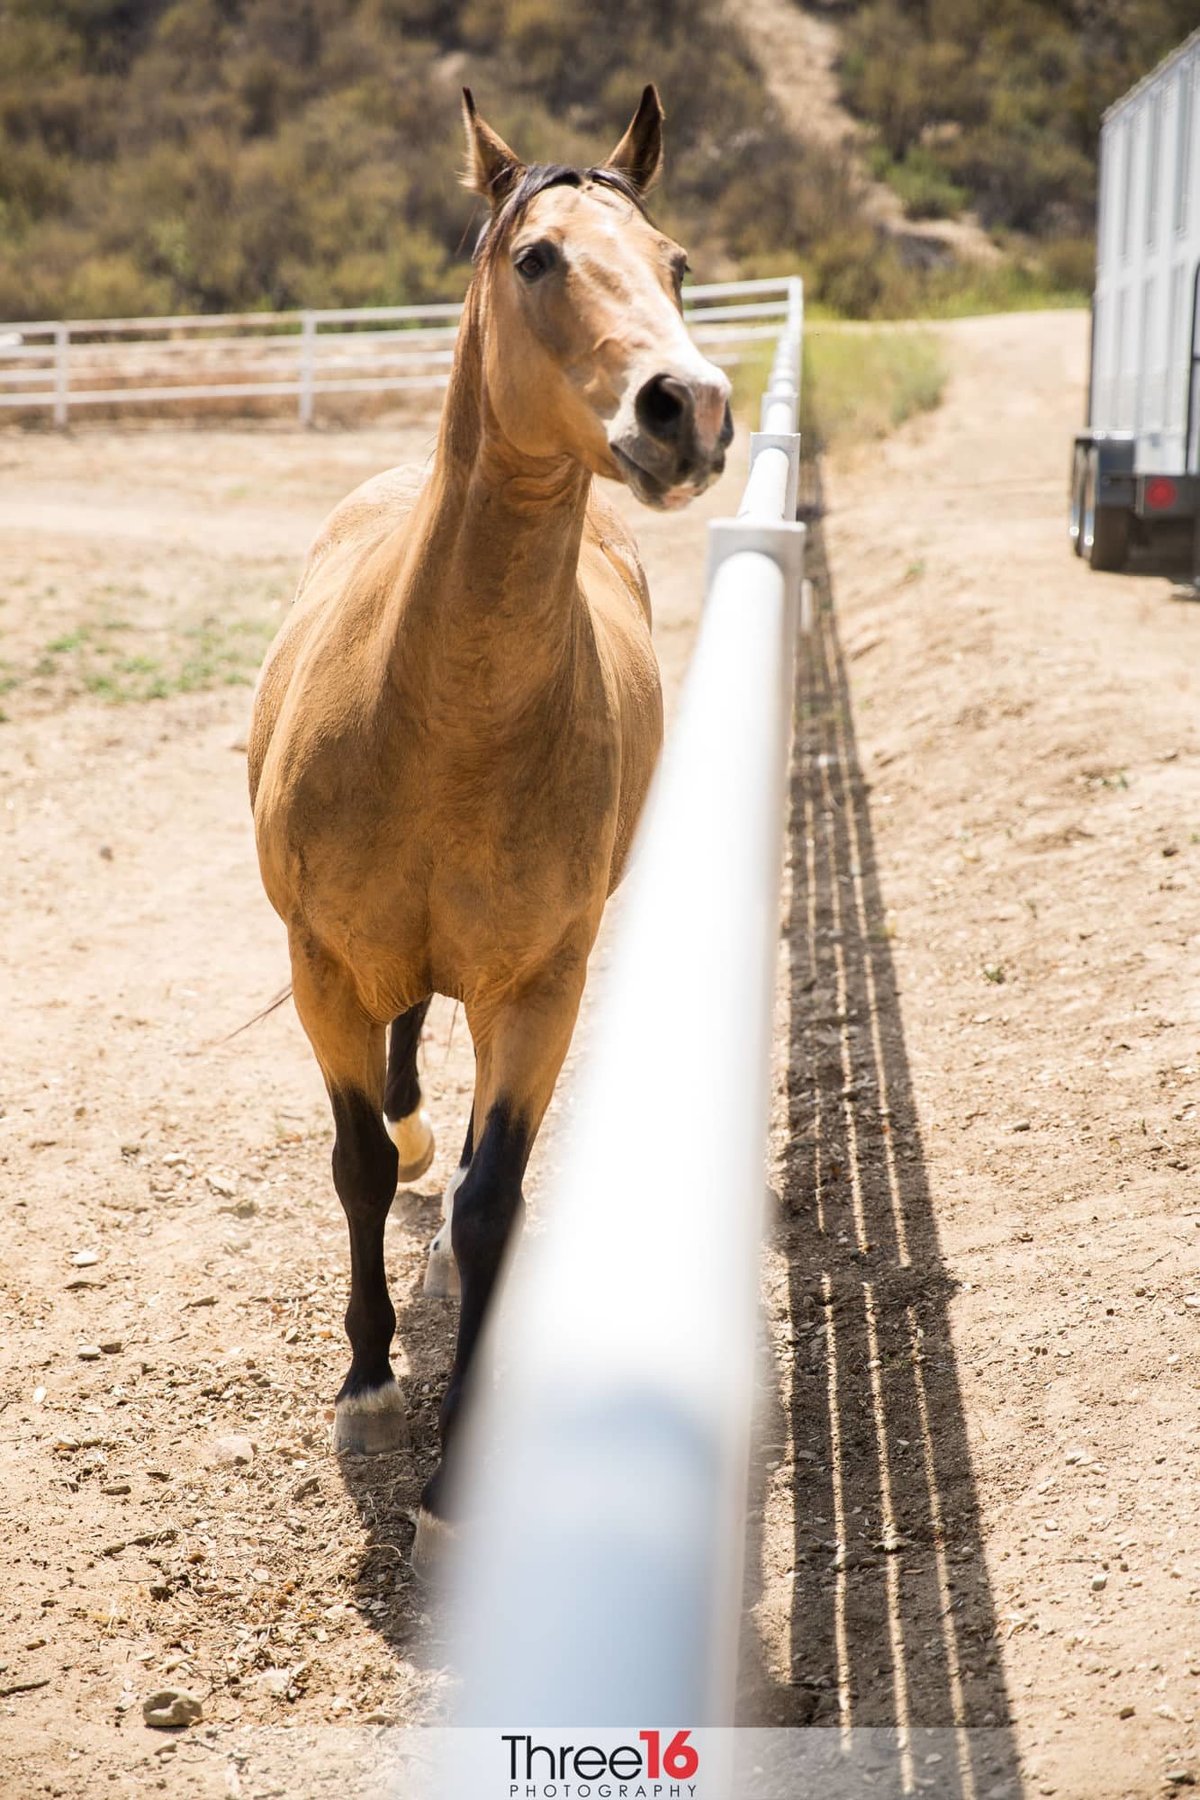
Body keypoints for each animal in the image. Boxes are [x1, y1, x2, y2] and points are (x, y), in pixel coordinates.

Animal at [246, 91, 734, 1569]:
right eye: (538, 258)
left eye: (678, 263)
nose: (690, 407)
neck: (436, 719)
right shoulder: (323, 968)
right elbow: (354, 1165)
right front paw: (365, 1390)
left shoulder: (543, 988)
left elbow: (490, 1203)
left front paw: (459, 1474)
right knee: (401, 1058)